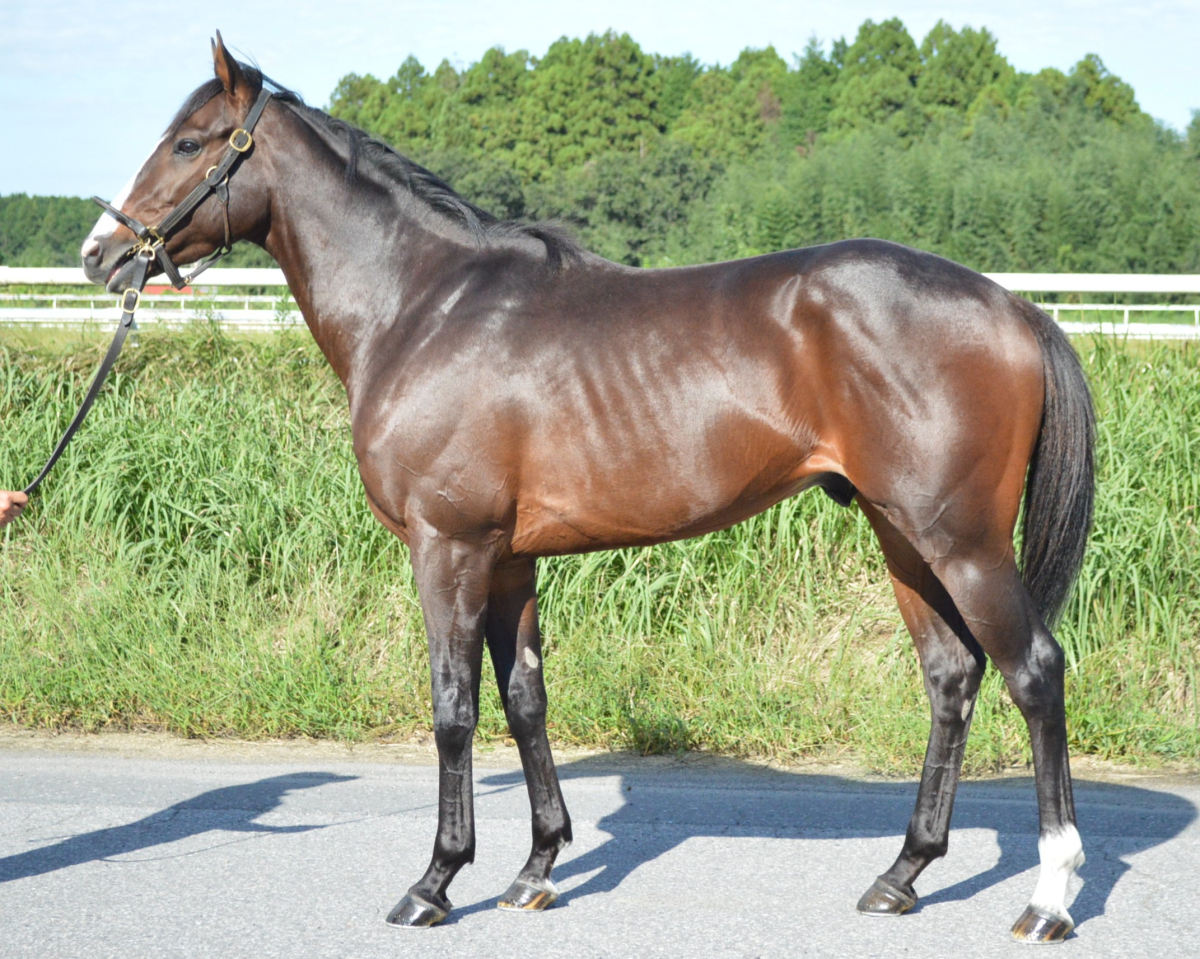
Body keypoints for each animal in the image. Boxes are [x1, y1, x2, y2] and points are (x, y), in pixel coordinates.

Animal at [79, 35, 1095, 942]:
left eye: (190, 143)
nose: (100, 254)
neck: (424, 306)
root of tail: (1014, 305)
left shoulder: (448, 547)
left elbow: (454, 707)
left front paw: (436, 881)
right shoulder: (508, 559)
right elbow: (524, 697)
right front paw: (535, 868)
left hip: (960, 541)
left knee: (1034, 672)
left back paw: (1048, 897)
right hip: (902, 535)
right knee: (952, 677)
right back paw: (902, 874)